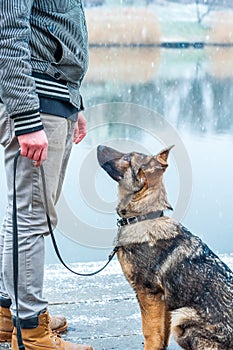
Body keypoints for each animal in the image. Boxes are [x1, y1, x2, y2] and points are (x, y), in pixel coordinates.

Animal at [97, 145, 233, 350]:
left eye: (128, 158)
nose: (99, 146)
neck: (143, 217)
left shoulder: (148, 293)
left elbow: (150, 332)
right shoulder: (165, 301)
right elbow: (163, 334)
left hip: (182, 316)